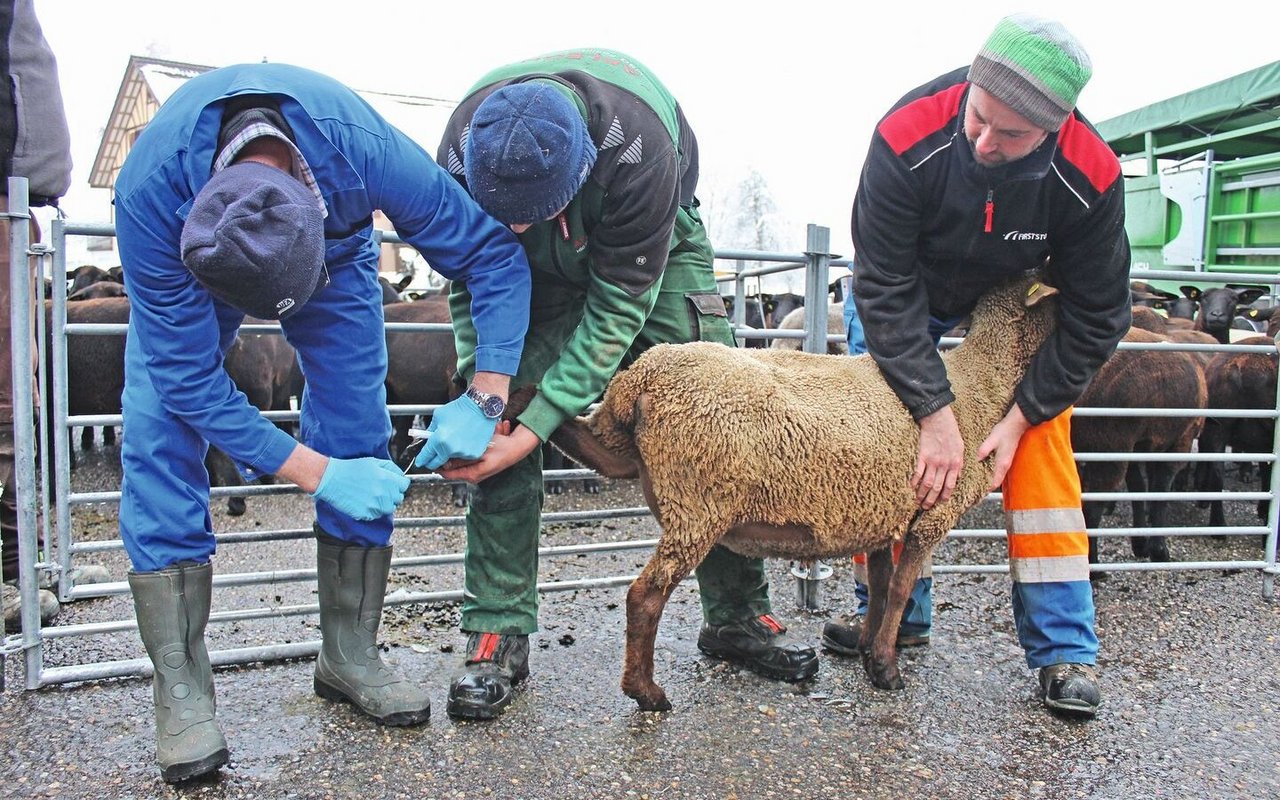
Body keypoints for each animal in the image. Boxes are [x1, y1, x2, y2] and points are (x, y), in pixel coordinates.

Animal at [545, 272, 1059, 711]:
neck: (982, 384)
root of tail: (642, 377)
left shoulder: (882, 512)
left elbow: (878, 586)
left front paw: (865, 646)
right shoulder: (931, 514)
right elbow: (900, 590)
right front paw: (886, 669)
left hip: (654, 470)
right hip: (698, 503)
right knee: (644, 596)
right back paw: (646, 692)